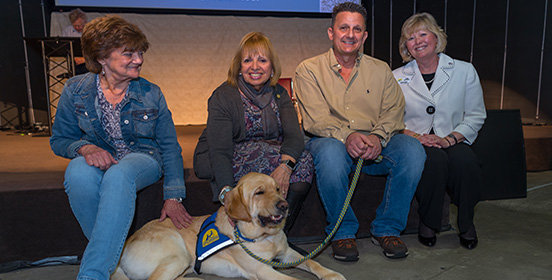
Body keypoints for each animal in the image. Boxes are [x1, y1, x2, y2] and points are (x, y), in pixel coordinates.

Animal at [111, 173, 344, 280]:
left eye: (277, 189)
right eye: (259, 192)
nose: (284, 205)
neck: (263, 236)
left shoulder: (286, 254)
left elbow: (313, 262)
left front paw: (331, 274)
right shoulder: (263, 270)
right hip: (178, 253)